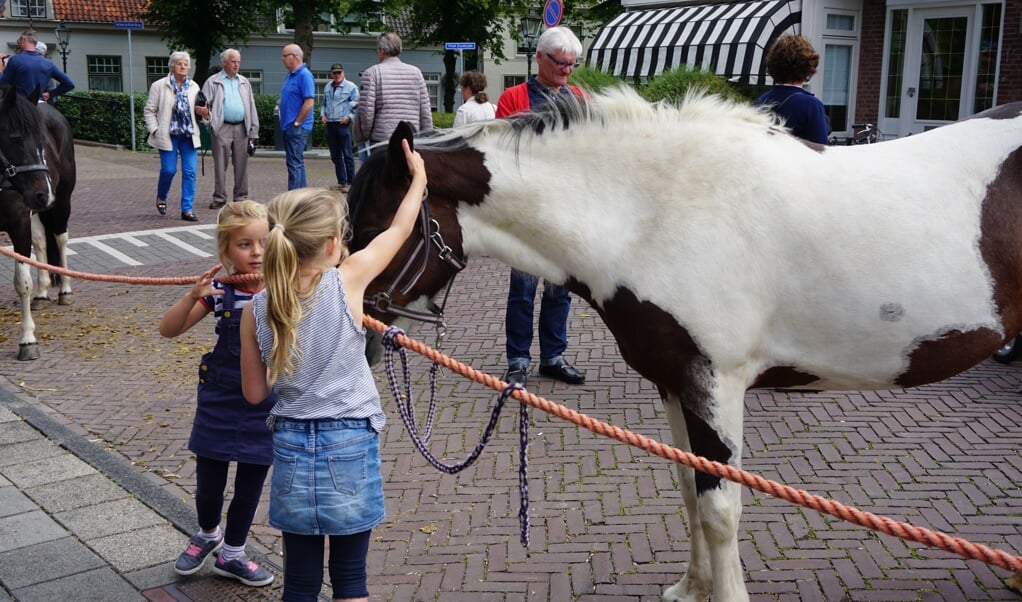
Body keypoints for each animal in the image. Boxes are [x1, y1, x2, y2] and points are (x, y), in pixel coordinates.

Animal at [0, 83, 74, 357]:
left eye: (42, 141)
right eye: (15, 138)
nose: (44, 193)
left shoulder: (19, 223)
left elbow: (22, 282)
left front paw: (27, 340)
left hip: (62, 201)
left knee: (60, 239)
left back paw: (65, 290)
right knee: (42, 242)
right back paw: (42, 293)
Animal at [349, 85, 1021, 600]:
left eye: (380, 225)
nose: (364, 337)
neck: (652, 212)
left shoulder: (713, 383)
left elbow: (720, 509)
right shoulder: (675, 384)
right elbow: (687, 489)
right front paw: (691, 588)